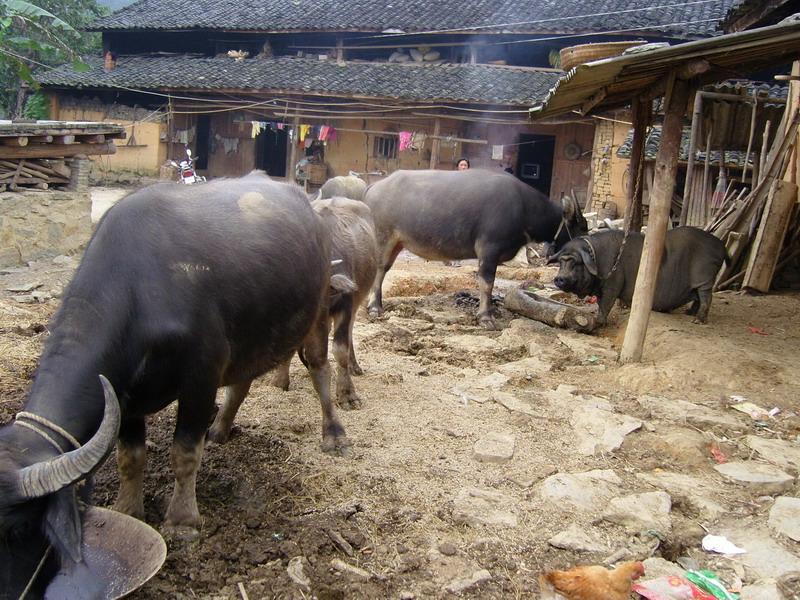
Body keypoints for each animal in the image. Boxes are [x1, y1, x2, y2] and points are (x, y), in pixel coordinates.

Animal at [0, 172, 350, 596]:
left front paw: (182, 522)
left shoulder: (200, 377)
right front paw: (128, 509)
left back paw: (333, 433)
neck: (139, 290)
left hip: (316, 311)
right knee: (242, 381)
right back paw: (221, 429)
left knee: (319, 368)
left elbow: (184, 452)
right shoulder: (124, 397)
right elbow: (130, 457)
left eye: (16, 528)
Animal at [362, 168, 588, 328]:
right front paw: (485, 317)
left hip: (397, 243)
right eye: (581, 226)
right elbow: (487, 283)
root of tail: (374, 187)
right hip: (383, 238)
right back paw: (374, 308)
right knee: (379, 269)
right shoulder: (489, 250)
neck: (524, 208)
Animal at [552, 226, 724, 328]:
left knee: (706, 297)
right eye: (561, 261)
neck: (598, 259)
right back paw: (689, 313)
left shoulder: (614, 281)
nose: (559, 278)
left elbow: (606, 303)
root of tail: (721, 245)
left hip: (705, 276)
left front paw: (599, 322)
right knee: (698, 297)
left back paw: (697, 320)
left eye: (575, 262)